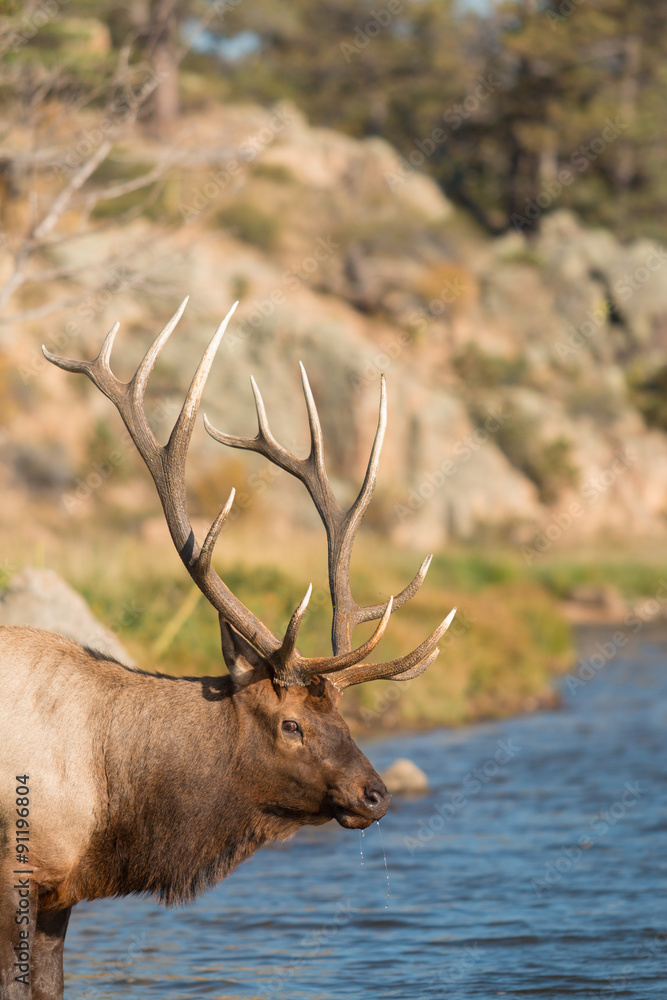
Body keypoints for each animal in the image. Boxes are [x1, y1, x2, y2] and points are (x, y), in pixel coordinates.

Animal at [0, 298, 455, 1000]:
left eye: (343, 717)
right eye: (291, 724)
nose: (376, 794)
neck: (108, 807)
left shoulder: (57, 894)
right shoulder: (13, 879)